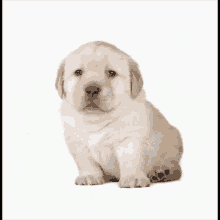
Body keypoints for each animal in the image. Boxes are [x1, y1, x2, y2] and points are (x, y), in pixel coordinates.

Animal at [55, 41, 183, 187]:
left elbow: (130, 161)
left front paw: (133, 178)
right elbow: (86, 163)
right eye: (78, 72)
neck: (96, 119)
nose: (92, 89)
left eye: (111, 73)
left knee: (175, 167)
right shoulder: (77, 142)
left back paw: (162, 172)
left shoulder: (129, 139)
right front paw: (89, 176)